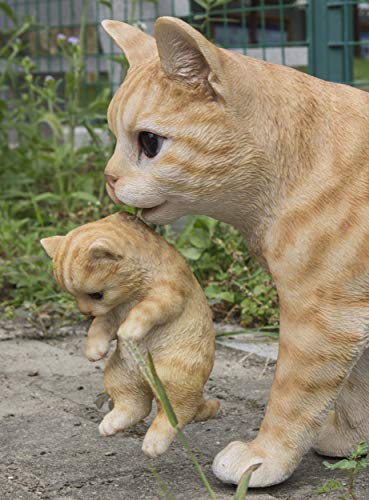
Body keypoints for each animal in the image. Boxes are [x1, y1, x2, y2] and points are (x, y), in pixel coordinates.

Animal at [40, 212, 218, 458]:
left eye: (96, 294)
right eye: (74, 295)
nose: (85, 312)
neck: (133, 291)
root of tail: (146, 379)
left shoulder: (167, 295)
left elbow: (143, 311)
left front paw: (128, 331)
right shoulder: (113, 312)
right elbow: (99, 325)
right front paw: (94, 349)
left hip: (172, 377)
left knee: (177, 413)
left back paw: (154, 443)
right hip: (120, 374)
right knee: (136, 405)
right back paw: (112, 423)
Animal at [100, 16, 368, 488]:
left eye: (149, 143)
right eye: (115, 138)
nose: (108, 178)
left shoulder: (323, 318)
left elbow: (294, 396)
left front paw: (266, 456)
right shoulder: (354, 312)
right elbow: (357, 387)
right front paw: (350, 441)